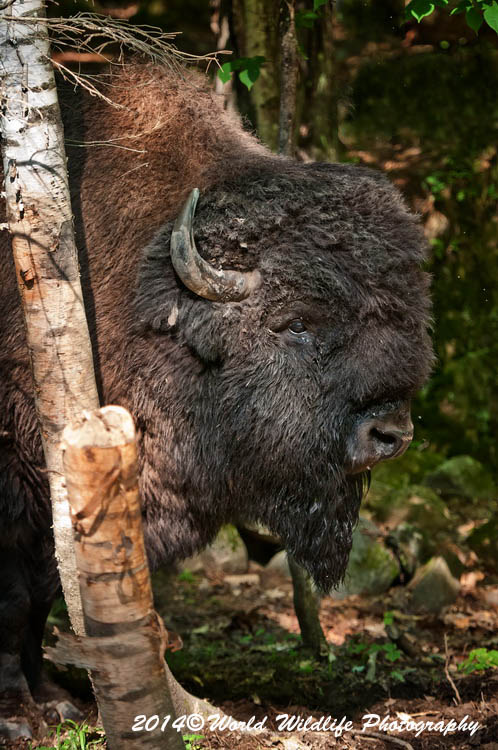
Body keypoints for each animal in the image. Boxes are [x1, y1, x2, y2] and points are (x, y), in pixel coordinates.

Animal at [0, 63, 432, 734]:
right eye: (295, 323)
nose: (391, 432)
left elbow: (44, 595)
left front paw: (54, 697)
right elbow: (15, 598)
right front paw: (20, 712)